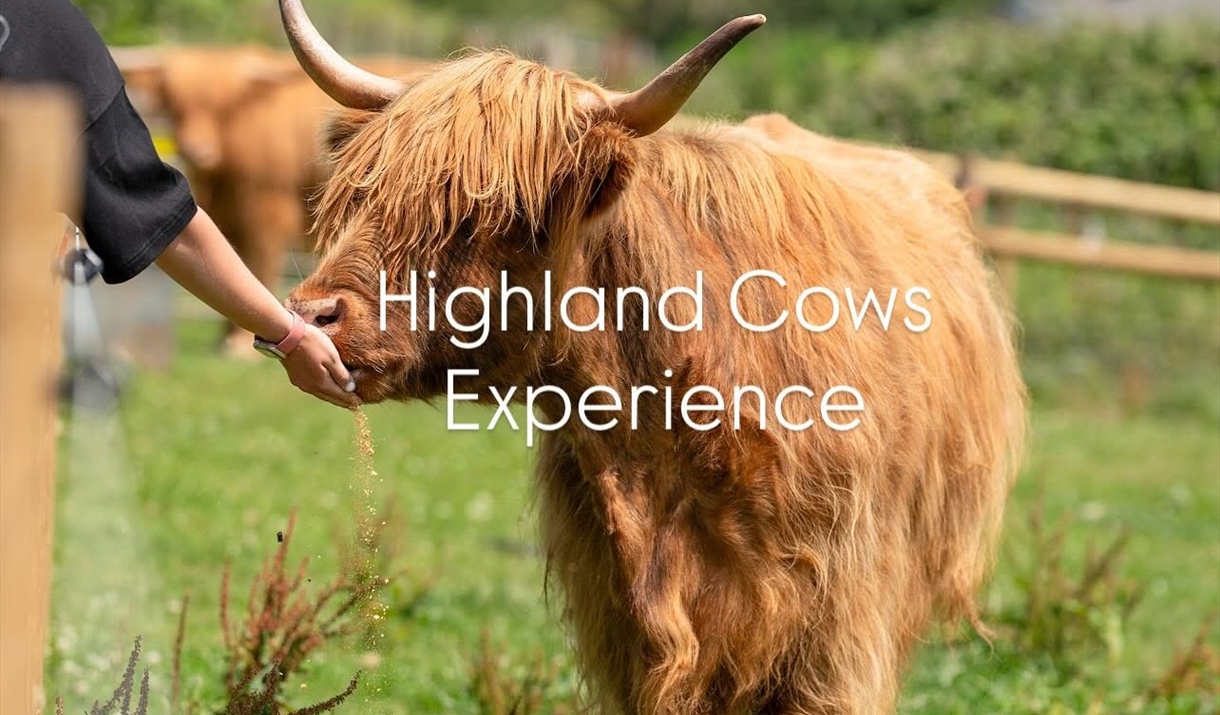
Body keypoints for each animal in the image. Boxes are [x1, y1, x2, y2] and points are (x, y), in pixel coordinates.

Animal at [117, 45, 428, 356]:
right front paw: (226, 337)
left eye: (225, 107)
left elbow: (259, 266)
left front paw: (239, 345)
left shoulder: (267, 210)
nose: (196, 150)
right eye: (173, 101)